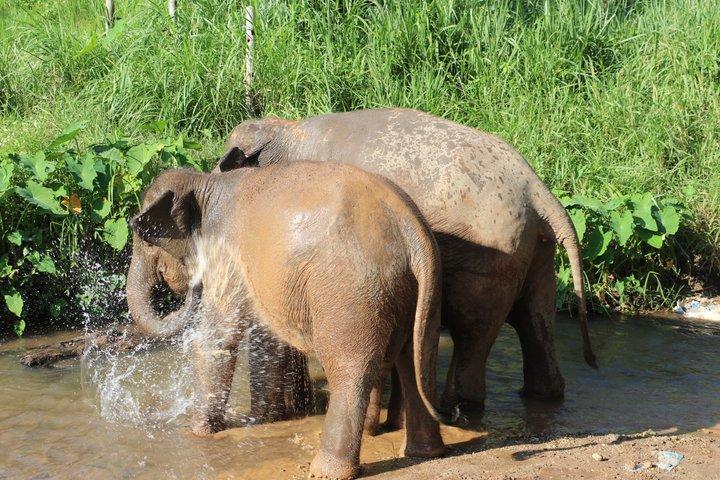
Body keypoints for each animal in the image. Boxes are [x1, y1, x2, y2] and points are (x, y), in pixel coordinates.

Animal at [129, 163, 446, 479]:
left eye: (144, 238)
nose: (192, 287)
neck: (206, 183)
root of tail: (410, 229)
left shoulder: (227, 255)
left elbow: (216, 338)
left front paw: (194, 432)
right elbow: (266, 339)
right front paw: (261, 418)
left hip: (350, 291)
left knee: (352, 368)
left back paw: (328, 470)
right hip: (418, 291)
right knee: (416, 358)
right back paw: (425, 452)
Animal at [218, 108, 596, 431]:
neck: (285, 129)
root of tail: (538, 192)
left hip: (489, 257)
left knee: (473, 332)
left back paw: (459, 406)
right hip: (535, 252)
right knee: (535, 321)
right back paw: (542, 396)